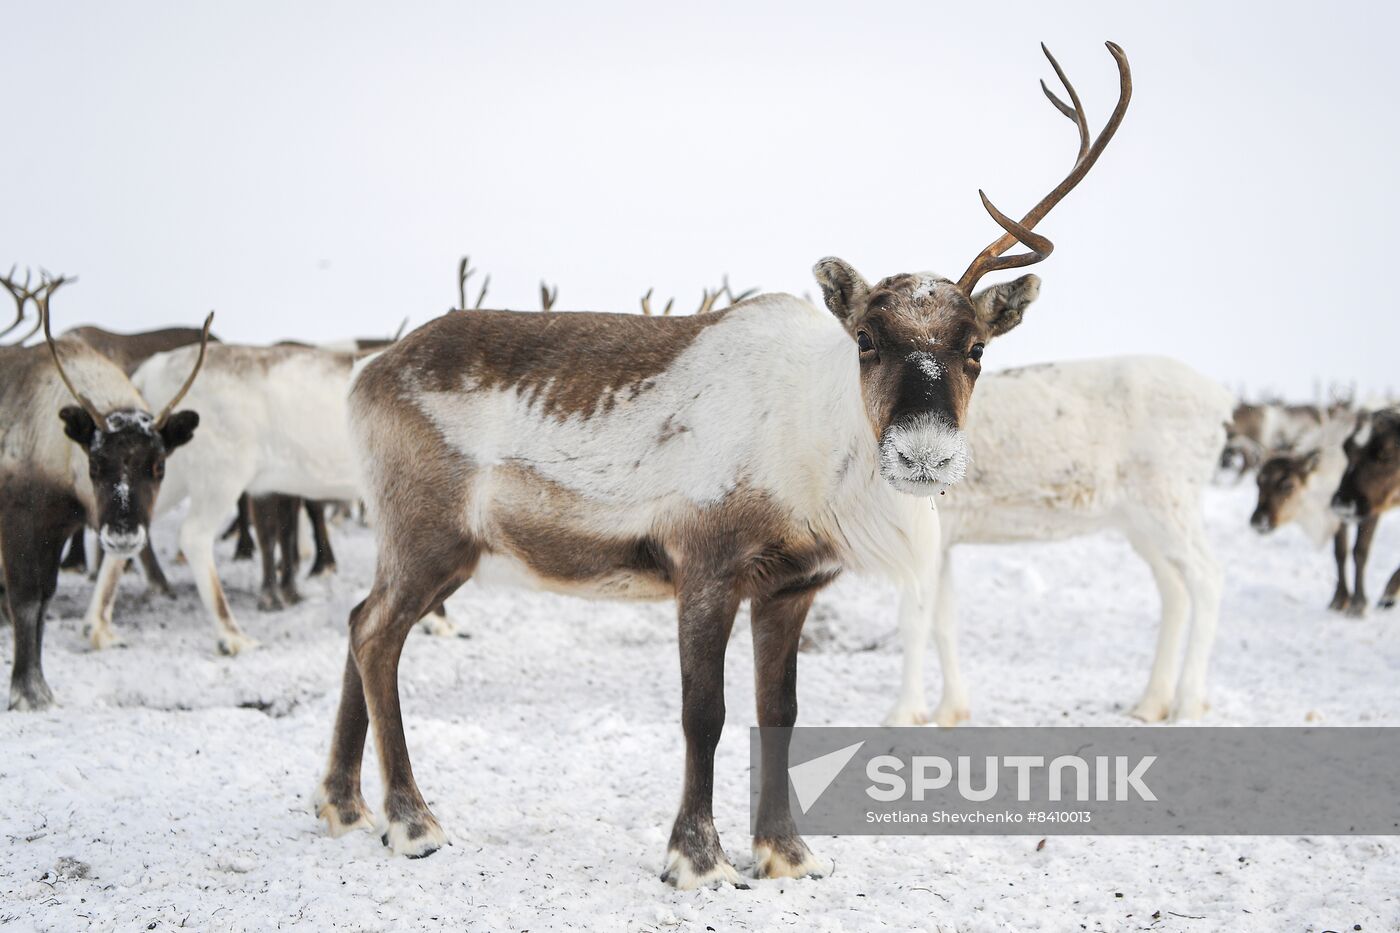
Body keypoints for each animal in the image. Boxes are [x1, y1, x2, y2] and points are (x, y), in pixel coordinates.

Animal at [0, 275, 208, 709]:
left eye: (159, 465)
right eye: (95, 464)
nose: (123, 535)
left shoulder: (58, 527)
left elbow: (44, 599)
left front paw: (41, 689)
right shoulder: (18, 518)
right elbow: (25, 600)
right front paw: (26, 693)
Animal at [312, 42, 1131, 888]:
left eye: (976, 347)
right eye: (868, 340)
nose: (923, 450)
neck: (814, 449)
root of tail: (367, 370)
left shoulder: (790, 587)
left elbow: (780, 713)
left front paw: (786, 852)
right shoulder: (705, 568)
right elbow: (704, 713)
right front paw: (698, 856)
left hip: (434, 548)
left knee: (360, 621)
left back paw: (345, 805)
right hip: (428, 535)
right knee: (376, 634)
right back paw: (412, 820)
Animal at [885, 356, 1232, 728]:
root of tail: (1222, 405)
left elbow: (913, 621)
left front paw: (903, 713)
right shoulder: (945, 542)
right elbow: (943, 623)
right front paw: (951, 710)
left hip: (1168, 502)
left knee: (1207, 576)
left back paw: (1188, 703)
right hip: (1141, 524)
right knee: (1175, 591)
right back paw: (1151, 704)